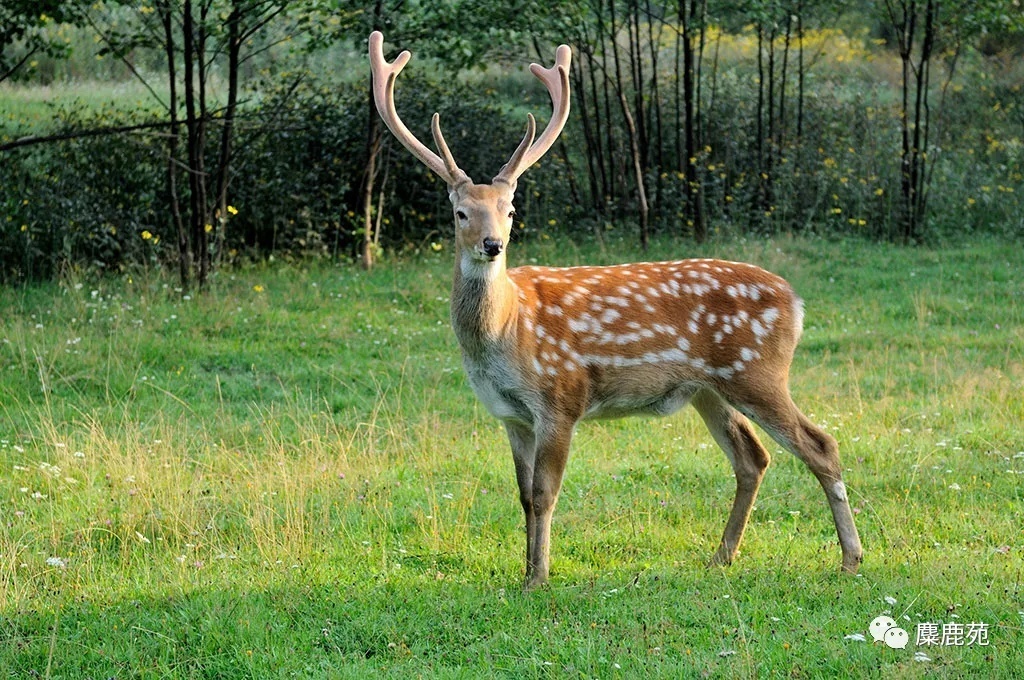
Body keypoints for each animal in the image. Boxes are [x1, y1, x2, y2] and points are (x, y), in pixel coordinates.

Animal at [368, 30, 864, 589]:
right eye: (459, 213)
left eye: (511, 210)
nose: (493, 245)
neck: (506, 331)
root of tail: (795, 300)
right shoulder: (510, 415)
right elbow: (523, 497)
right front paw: (526, 570)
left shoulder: (561, 398)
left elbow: (544, 494)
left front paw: (538, 579)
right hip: (708, 389)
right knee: (752, 457)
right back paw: (721, 556)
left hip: (757, 371)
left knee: (820, 444)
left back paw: (850, 557)